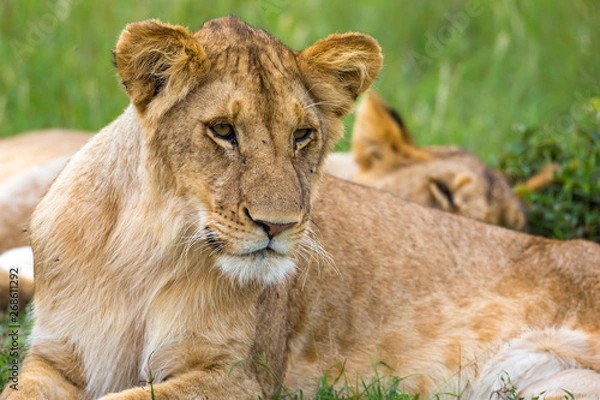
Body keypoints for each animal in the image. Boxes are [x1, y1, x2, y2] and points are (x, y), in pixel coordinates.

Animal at [4, 16, 600, 400]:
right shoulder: (54, 357)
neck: (144, 248)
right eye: (223, 131)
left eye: (302, 135)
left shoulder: (240, 377)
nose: (279, 225)